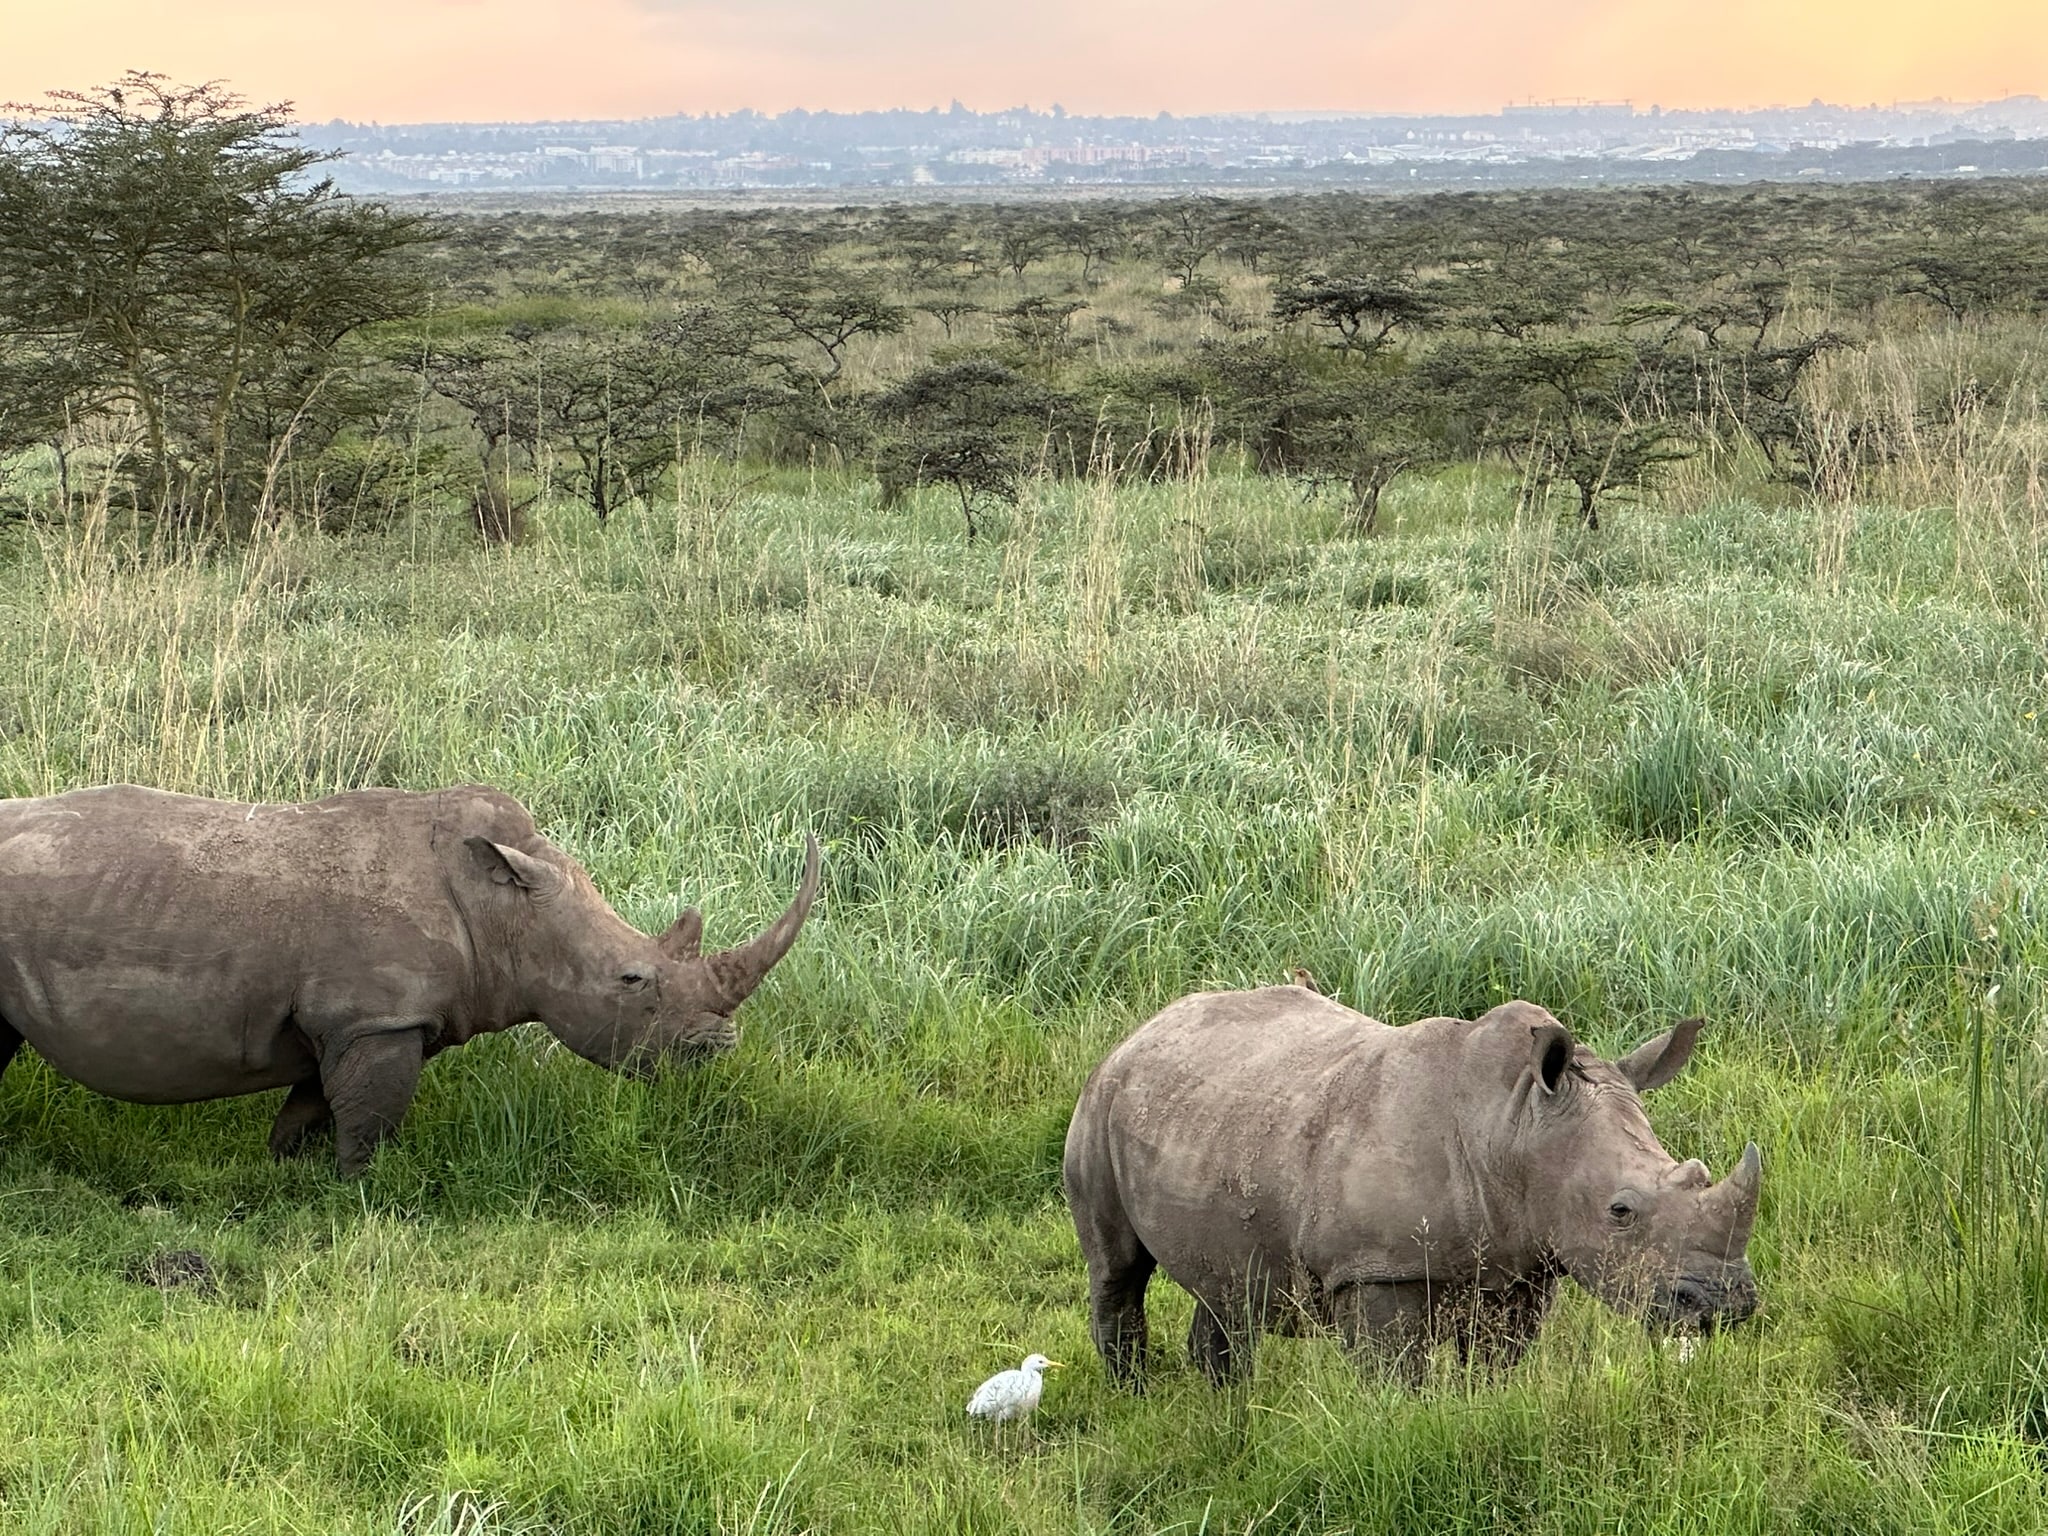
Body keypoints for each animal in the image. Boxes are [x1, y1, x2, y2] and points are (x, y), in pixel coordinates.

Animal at [0, 784, 819, 1175]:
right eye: (632, 979)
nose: (716, 1055)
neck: (504, 910)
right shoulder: (378, 1017)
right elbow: (370, 1122)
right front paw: (360, 1194)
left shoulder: (355, 1020)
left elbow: (312, 1110)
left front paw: (287, 1176)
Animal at [1064, 988, 1761, 1385]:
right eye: (1620, 1211)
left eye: (1699, 1176)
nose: (1727, 1305)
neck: (1512, 1126)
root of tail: (1145, 1028)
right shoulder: (1376, 1268)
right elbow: (1397, 1379)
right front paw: (1396, 1428)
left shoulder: (1520, 1263)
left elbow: (1497, 1369)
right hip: (1099, 1104)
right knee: (1118, 1268)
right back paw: (1135, 1396)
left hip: (1210, 1117)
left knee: (1223, 1284)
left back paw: (1225, 1405)